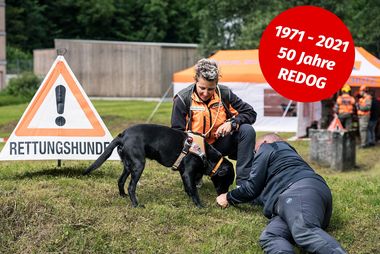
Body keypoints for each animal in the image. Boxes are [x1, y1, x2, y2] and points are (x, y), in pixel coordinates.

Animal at [84, 124, 235, 207]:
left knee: (120, 181)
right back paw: (136, 205)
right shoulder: (188, 173)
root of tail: (123, 135)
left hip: (128, 165)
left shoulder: (183, 173)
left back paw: (123, 196)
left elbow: (189, 188)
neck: (205, 154)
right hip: (139, 164)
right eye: (227, 181)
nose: (223, 195)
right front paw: (200, 206)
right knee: (131, 187)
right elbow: (194, 190)